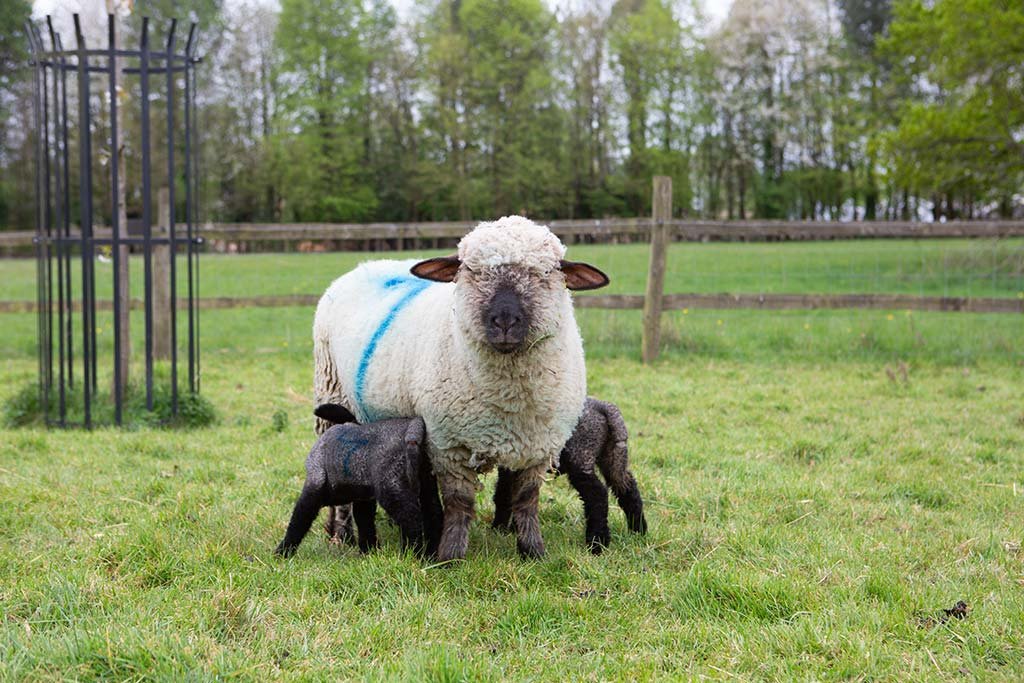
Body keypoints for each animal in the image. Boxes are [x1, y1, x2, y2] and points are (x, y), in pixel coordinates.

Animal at [274, 403, 442, 557]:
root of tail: (414, 426)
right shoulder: (363, 496)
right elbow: (364, 522)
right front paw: (369, 551)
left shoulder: (313, 486)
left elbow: (299, 520)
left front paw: (282, 552)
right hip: (426, 479)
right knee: (433, 513)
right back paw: (431, 554)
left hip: (391, 486)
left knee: (411, 519)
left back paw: (412, 553)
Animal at [313, 218, 606, 561]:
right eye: (471, 270)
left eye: (546, 271)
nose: (504, 321)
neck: (509, 398)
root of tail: (368, 264)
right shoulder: (449, 446)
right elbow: (459, 502)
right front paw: (450, 555)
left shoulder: (540, 445)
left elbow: (526, 500)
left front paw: (533, 552)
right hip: (330, 398)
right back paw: (342, 533)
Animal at [489, 397, 643, 552]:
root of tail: (603, 407)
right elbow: (509, 493)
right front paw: (508, 529)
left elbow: (505, 495)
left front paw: (499, 529)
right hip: (614, 454)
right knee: (627, 488)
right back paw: (638, 530)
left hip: (580, 457)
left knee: (597, 495)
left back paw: (597, 543)